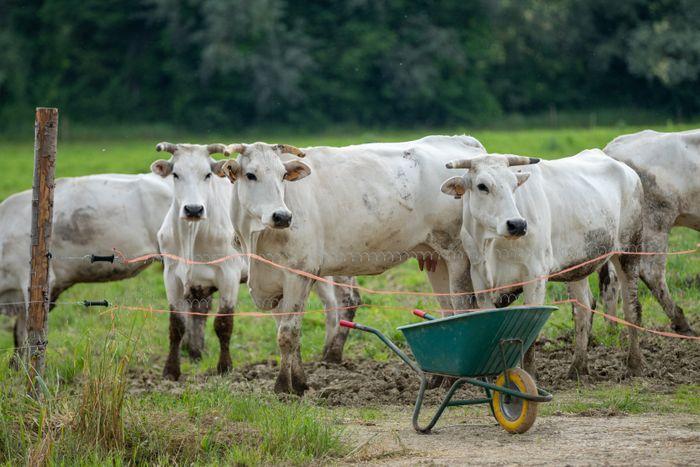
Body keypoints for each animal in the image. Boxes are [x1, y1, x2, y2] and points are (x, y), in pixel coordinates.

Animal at [150, 143, 364, 380]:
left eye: (207, 175)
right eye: (176, 174)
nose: (194, 209)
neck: (193, 234)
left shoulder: (229, 273)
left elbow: (223, 322)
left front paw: (225, 368)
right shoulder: (171, 275)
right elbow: (177, 324)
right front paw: (172, 370)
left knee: (343, 301)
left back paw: (331, 354)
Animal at [221, 136, 490, 394]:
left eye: (283, 175)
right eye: (251, 174)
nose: (282, 216)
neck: (256, 240)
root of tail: (462, 141)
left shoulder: (299, 274)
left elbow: (288, 334)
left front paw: (282, 388)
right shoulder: (275, 282)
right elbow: (287, 333)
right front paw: (298, 383)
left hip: (456, 253)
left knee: (462, 307)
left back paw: (455, 381)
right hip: (437, 256)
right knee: (447, 311)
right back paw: (439, 378)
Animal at [442, 152, 644, 378]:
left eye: (514, 185)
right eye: (482, 186)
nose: (517, 225)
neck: (490, 242)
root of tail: (627, 170)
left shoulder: (535, 275)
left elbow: (530, 329)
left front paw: (529, 376)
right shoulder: (480, 280)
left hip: (629, 251)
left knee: (631, 307)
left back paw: (634, 364)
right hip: (577, 264)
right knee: (583, 310)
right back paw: (578, 368)